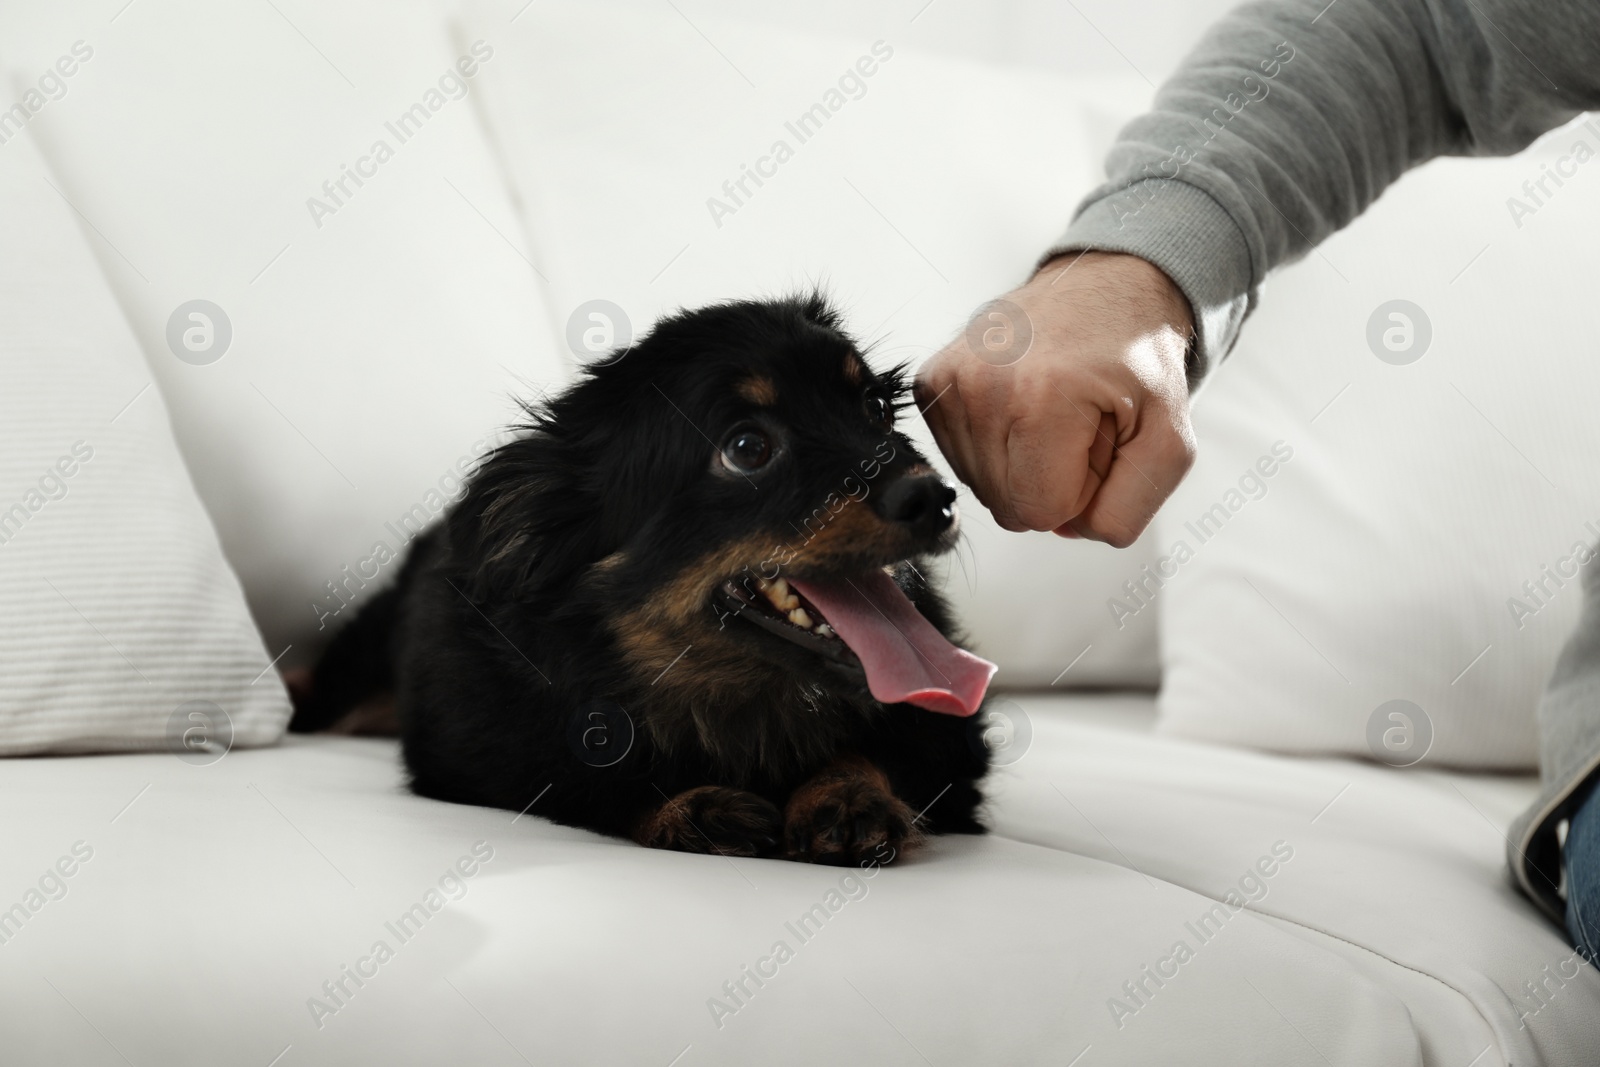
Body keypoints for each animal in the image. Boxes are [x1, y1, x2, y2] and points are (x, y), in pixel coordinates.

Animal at [286, 294, 985, 870]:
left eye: (875, 409)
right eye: (747, 449)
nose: (935, 497)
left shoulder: (954, 744)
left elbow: (884, 752)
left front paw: (844, 794)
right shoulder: (475, 758)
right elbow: (590, 774)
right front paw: (691, 808)